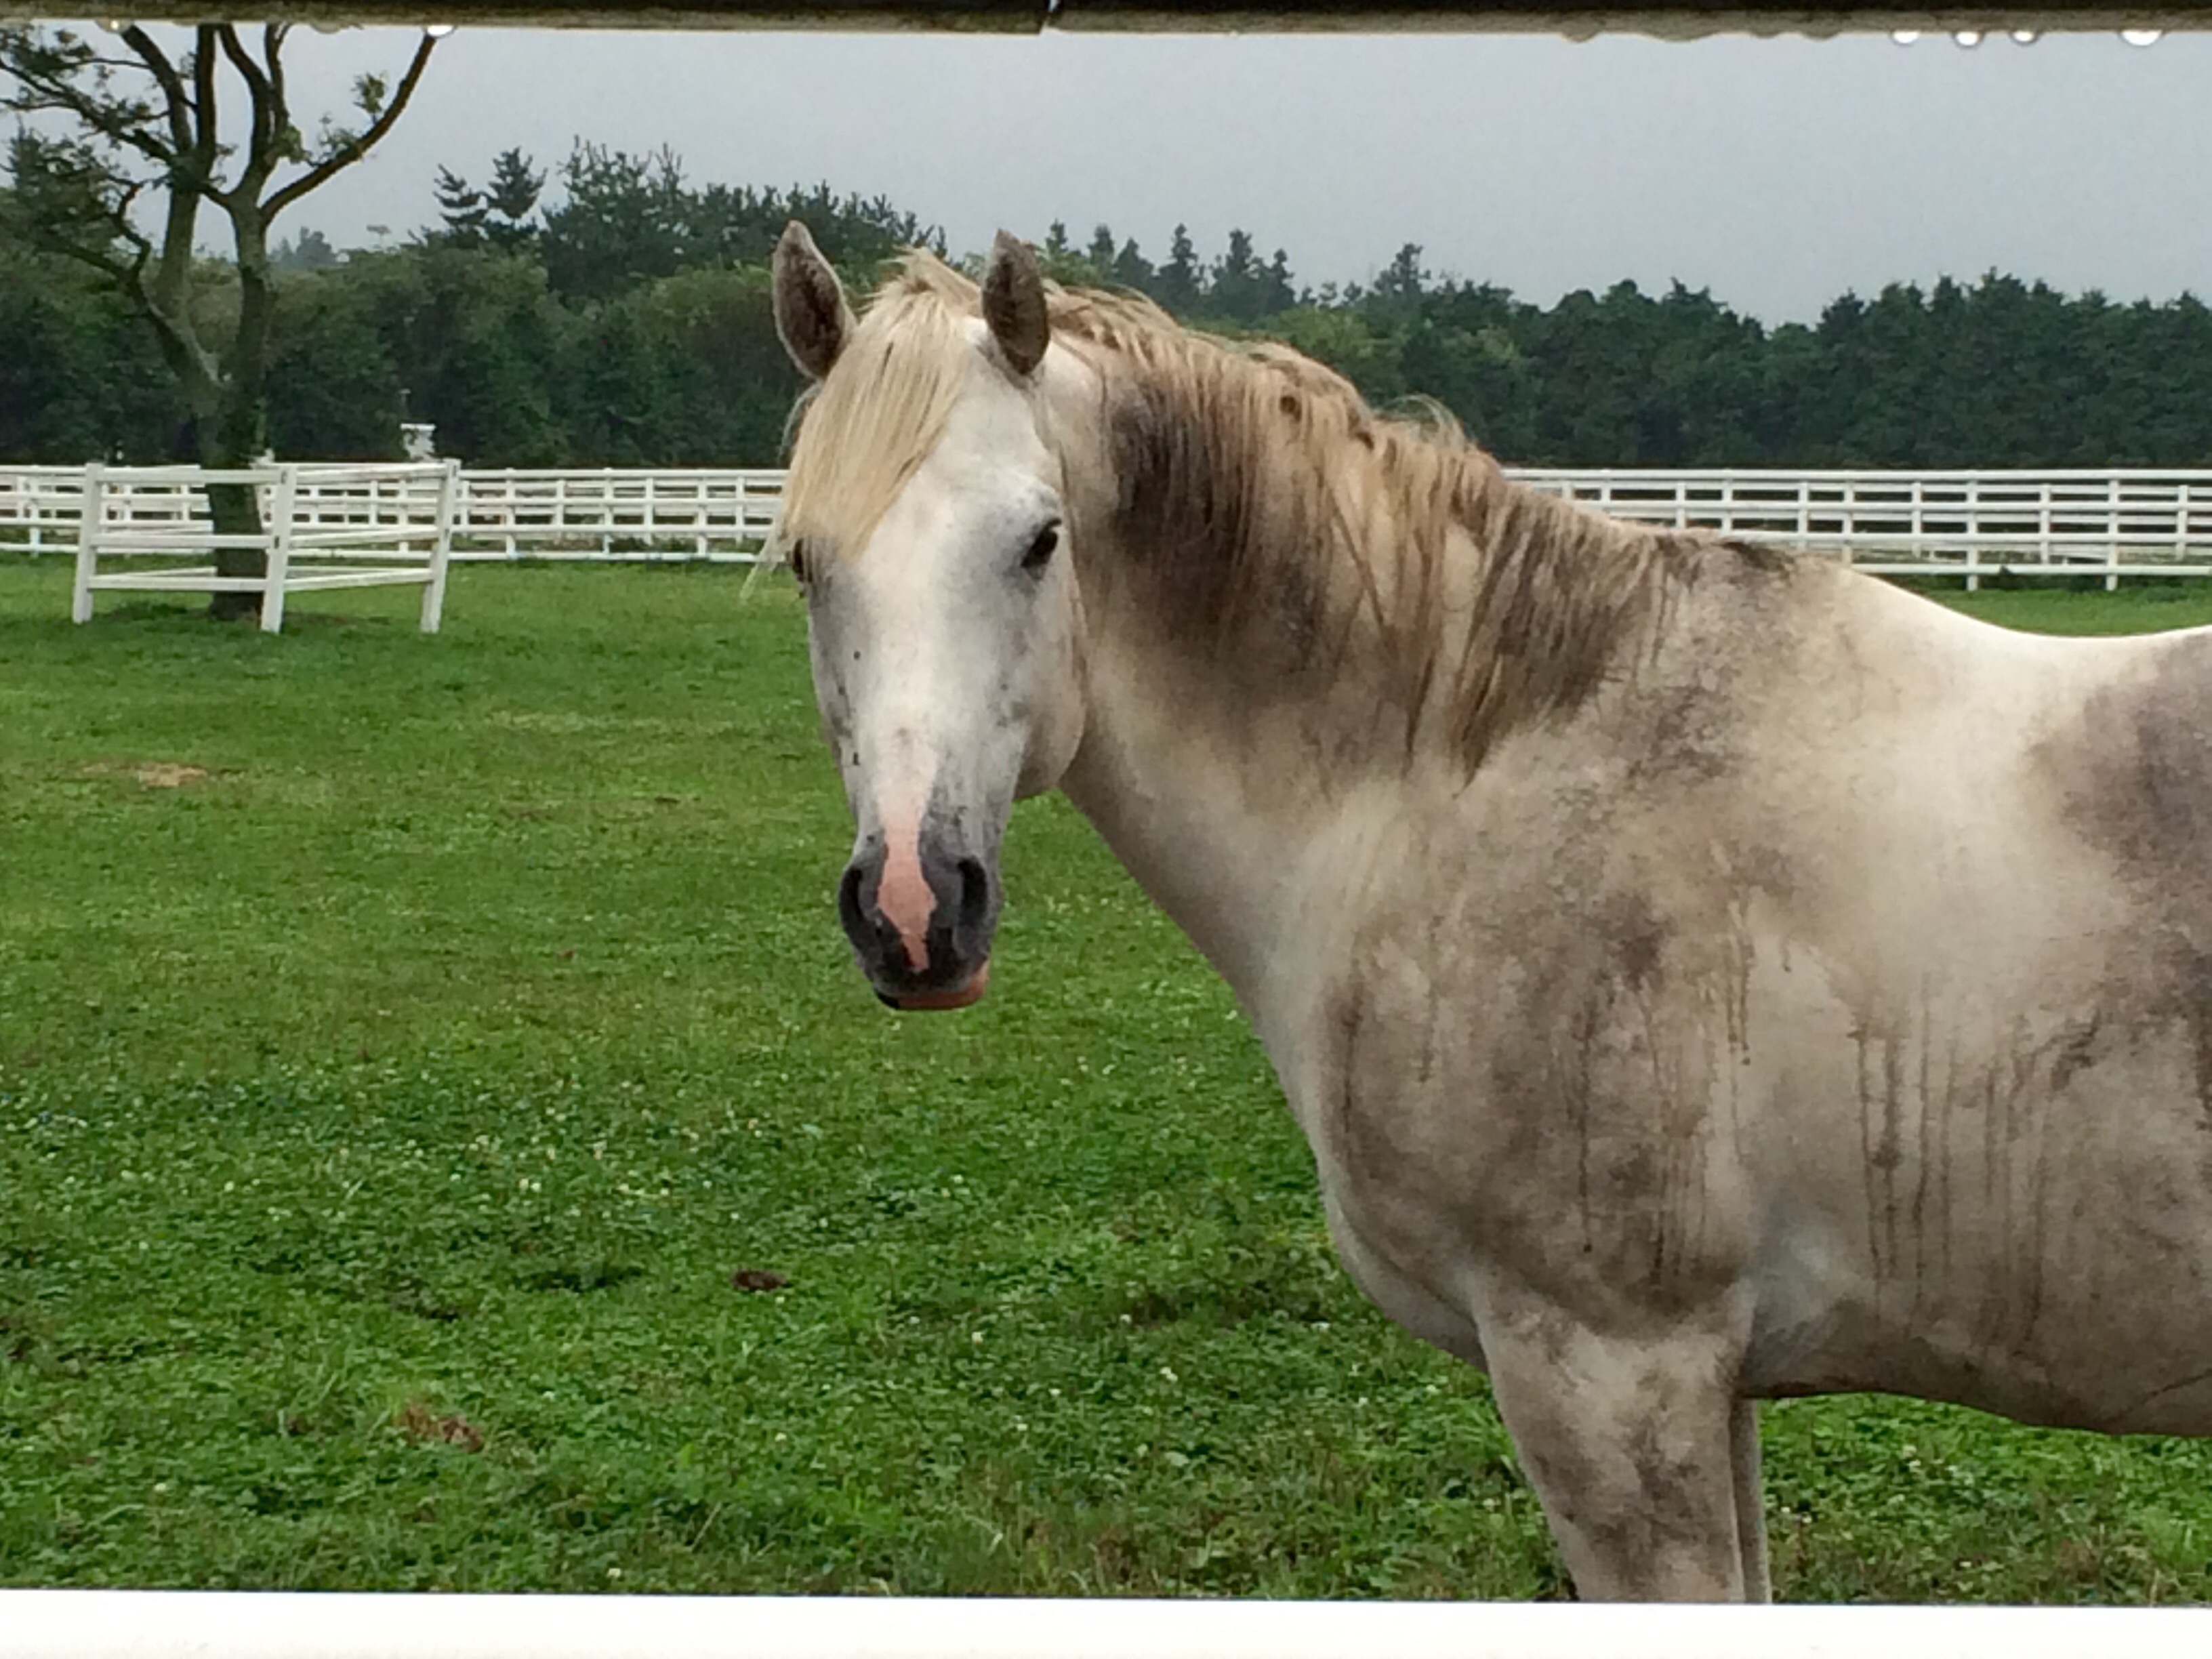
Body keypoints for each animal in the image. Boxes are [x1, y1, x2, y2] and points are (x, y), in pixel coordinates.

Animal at [769, 228, 2212, 1601]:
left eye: (1037, 540)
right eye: (802, 563)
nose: (913, 905)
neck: (1461, 778)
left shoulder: (1611, 1375)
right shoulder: (1713, 1381)